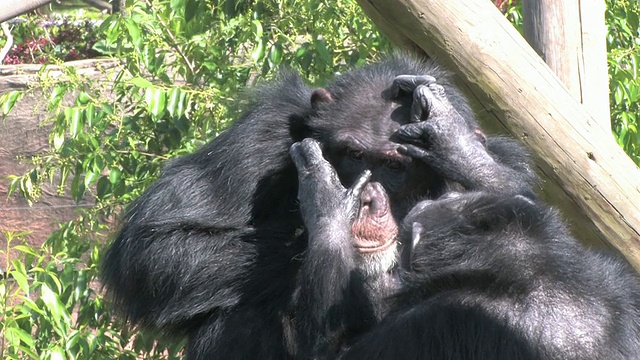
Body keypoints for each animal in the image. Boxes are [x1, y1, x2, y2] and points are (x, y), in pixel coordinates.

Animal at [101, 54, 536, 358]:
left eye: (395, 166)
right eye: (353, 155)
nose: (366, 197)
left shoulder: (512, 164)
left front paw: (454, 141)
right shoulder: (264, 132)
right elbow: (158, 245)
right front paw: (327, 215)